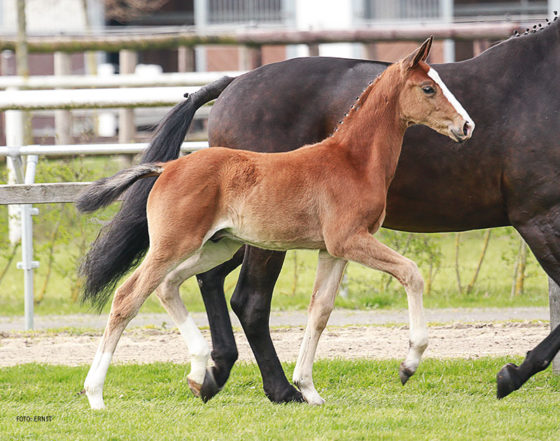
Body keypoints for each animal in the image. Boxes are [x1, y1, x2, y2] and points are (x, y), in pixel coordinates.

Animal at [81, 20, 560, 402]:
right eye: (428, 88)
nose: (467, 126)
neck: (351, 159)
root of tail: (169, 165)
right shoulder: (353, 240)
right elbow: (412, 274)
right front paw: (412, 365)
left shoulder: (333, 250)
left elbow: (320, 312)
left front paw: (310, 389)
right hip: (181, 243)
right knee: (137, 296)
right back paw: (99, 394)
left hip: (218, 245)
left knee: (175, 286)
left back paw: (205, 373)